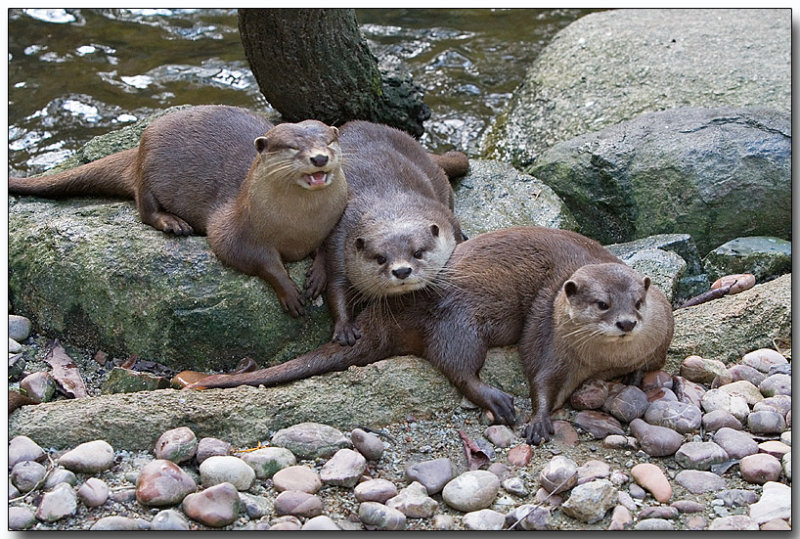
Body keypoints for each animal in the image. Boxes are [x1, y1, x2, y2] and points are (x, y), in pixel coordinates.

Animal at [7, 105, 346, 316]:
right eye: (292, 146)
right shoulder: (237, 228)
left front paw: (318, 275)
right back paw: (173, 223)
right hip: (149, 168)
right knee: (144, 209)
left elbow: (327, 247)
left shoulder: (334, 219)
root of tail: (137, 148)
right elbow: (253, 258)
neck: (297, 227)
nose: (319, 157)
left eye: (329, 141)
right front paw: (289, 291)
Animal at [189, 226, 676, 446]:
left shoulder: (661, 338)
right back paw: (495, 400)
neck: (602, 363)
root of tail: (385, 314)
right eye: (602, 304)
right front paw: (538, 420)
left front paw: (636, 380)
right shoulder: (550, 336)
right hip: (458, 322)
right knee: (456, 365)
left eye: (638, 302)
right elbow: (541, 376)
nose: (627, 323)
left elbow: (650, 364)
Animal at [312, 121, 472, 346]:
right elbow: (336, 287)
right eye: (380, 258)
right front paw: (344, 327)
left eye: (418, 253)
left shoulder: (445, 218)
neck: (390, 206)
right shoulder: (340, 243)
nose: (402, 271)